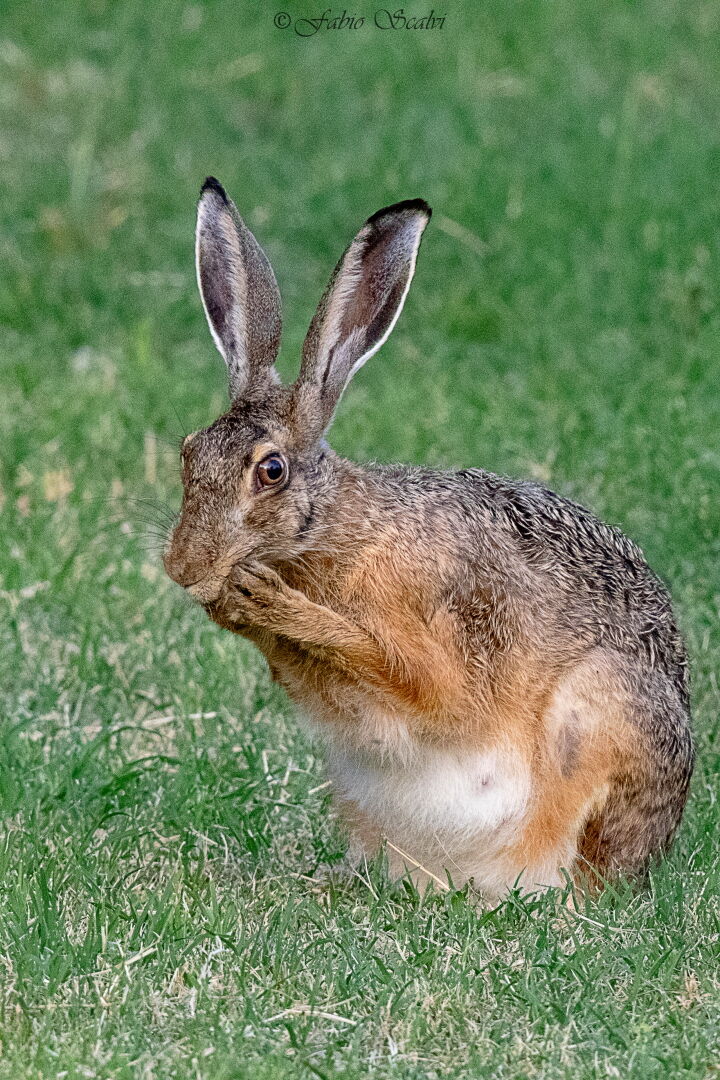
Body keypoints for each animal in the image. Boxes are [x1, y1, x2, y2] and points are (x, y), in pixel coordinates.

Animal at [164, 177, 694, 899]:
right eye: (188, 452)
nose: (182, 566)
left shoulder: (446, 638)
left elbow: (411, 677)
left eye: (270, 471)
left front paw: (269, 602)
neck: (338, 531)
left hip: (604, 714)